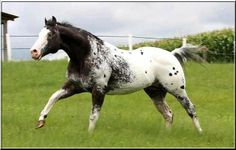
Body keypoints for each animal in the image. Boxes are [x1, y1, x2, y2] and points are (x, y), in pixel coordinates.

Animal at [30, 16, 205, 134]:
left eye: (50, 35)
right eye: (39, 34)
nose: (34, 52)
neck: (87, 55)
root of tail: (172, 54)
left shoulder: (98, 90)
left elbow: (93, 115)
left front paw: (89, 135)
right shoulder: (74, 87)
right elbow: (53, 96)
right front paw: (41, 121)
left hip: (177, 90)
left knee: (191, 109)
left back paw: (200, 132)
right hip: (155, 92)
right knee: (168, 114)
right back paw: (165, 134)